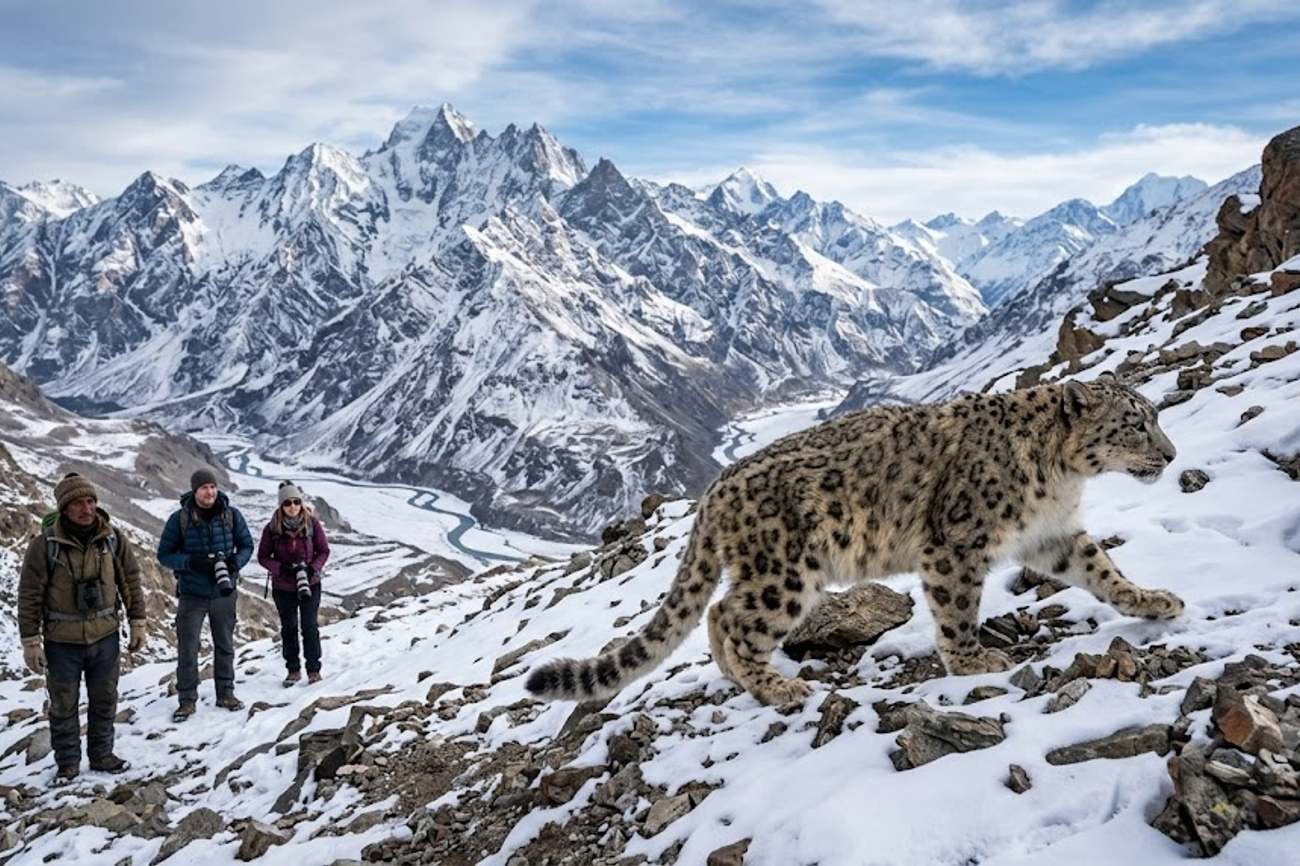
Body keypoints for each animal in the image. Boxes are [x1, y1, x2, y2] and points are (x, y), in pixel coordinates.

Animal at [526, 375, 1185, 707]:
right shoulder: (956, 543)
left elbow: (1104, 571)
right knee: (730, 618)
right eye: (1135, 423)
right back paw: (775, 685)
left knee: (716, 614)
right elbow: (957, 608)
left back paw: (746, 679)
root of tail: (714, 490)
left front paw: (1155, 601)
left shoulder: (1053, 535)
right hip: (785, 573)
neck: (1061, 478)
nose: (1172, 454)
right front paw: (973, 661)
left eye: (1154, 416)